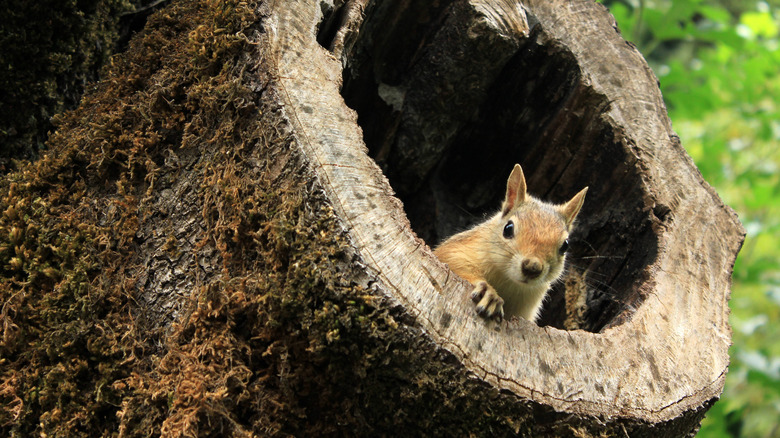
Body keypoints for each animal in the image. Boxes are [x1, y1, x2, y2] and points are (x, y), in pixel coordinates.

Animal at [432, 164, 584, 322]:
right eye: (508, 228)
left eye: (565, 245)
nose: (533, 267)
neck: (507, 280)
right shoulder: (458, 248)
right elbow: (452, 261)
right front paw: (489, 294)